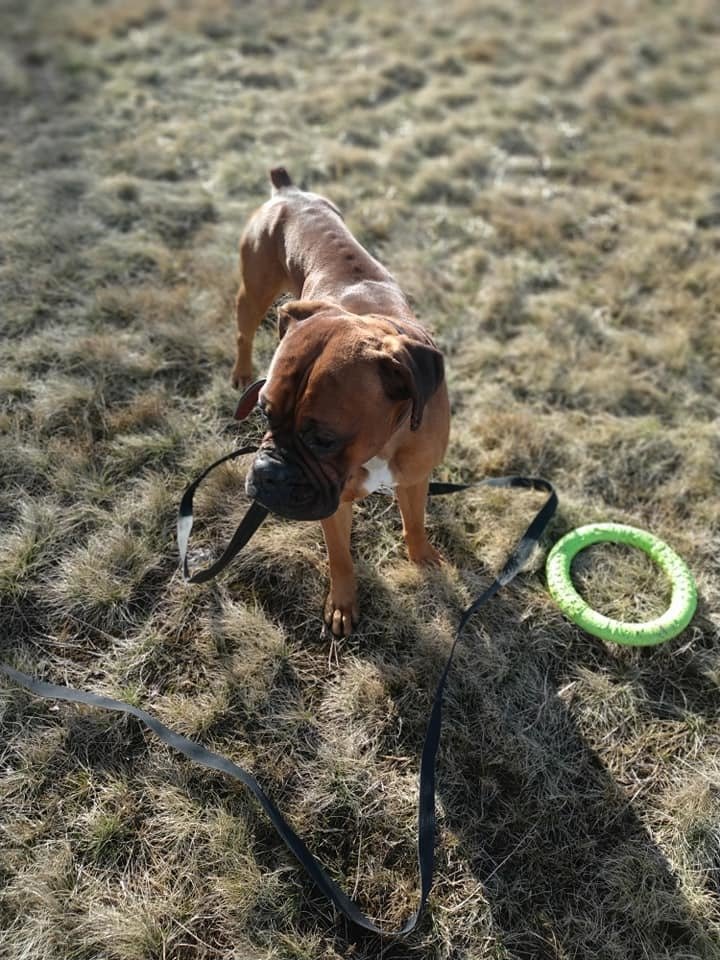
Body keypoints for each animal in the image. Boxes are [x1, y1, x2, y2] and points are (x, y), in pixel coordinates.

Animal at [233, 169, 450, 636]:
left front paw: (424, 559)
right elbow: (341, 557)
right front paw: (343, 604)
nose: (267, 472)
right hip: (254, 293)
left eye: (324, 440)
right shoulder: (335, 506)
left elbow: (414, 523)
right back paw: (241, 369)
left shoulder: (415, 479)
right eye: (263, 413)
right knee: (243, 331)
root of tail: (288, 190)